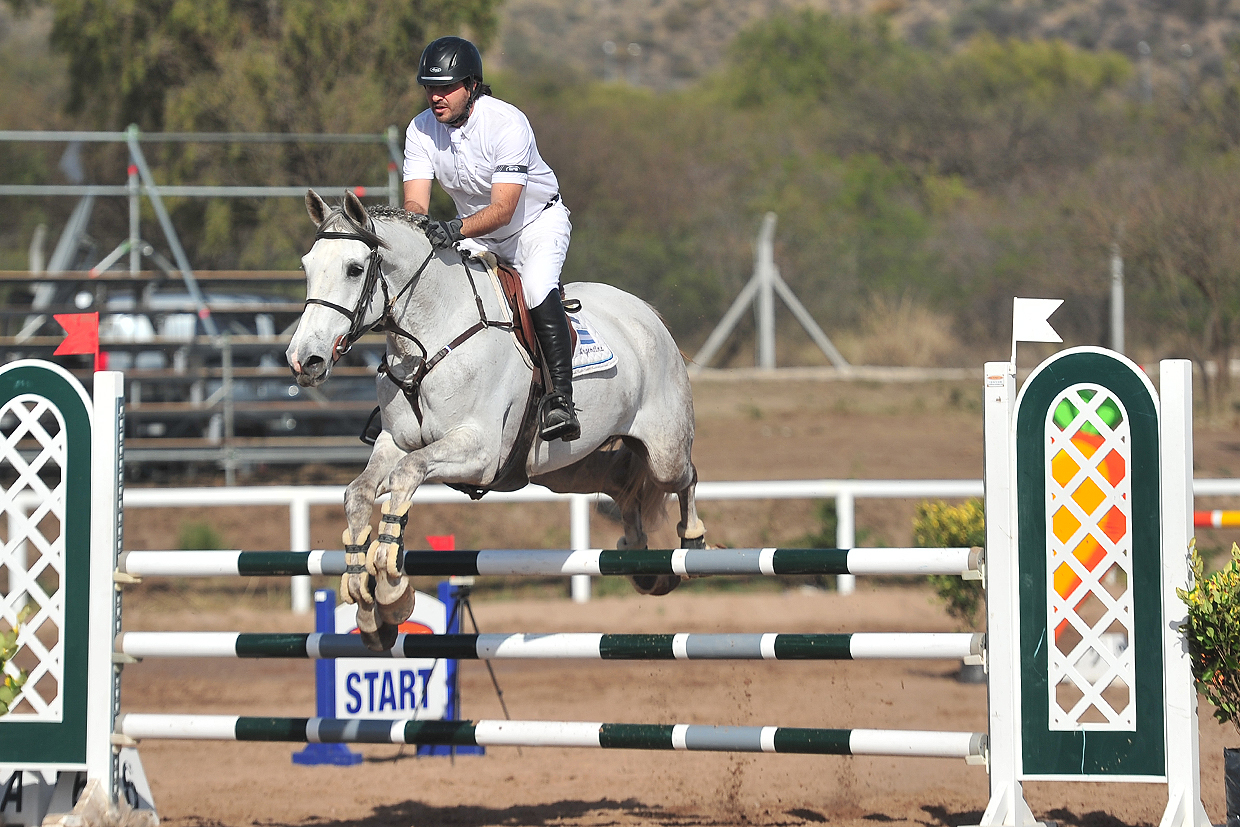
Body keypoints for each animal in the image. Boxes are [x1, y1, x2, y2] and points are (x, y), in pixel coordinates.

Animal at [283, 190, 704, 649]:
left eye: (355, 268)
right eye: (306, 265)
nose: (304, 360)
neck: (428, 337)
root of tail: (646, 313)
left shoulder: (480, 452)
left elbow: (406, 474)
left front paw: (393, 591)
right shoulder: (395, 442)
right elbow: (358, 493)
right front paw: (366, 601)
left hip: (663, 449)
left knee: (682, 476)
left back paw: (691, 540)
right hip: (559, 469)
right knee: (621, 479)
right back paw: (639, 557)